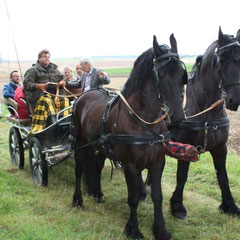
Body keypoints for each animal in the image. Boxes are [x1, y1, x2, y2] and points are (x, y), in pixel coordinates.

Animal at [72, 34, 187, 239]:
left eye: (182, 74)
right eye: (161, 75)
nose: (179, 119)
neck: (144, 123)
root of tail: (84, 95)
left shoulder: (158, 163)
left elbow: (157, 196)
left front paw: (160, 229)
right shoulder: (130, 166)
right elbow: (132, 198)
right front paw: (133, 228)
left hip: (100, 145)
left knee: (98, 166)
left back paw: (97, 193)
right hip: (80, 142)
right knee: (79, 169)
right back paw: (77, 199)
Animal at [170, 27, 240, 220]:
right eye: (222, 60)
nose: (235, 100)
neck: (207, 113)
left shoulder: (220, 148)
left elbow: (223, 176)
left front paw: (230, 206)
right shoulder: (185, 147)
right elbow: (182, 176)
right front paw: (177, 206)